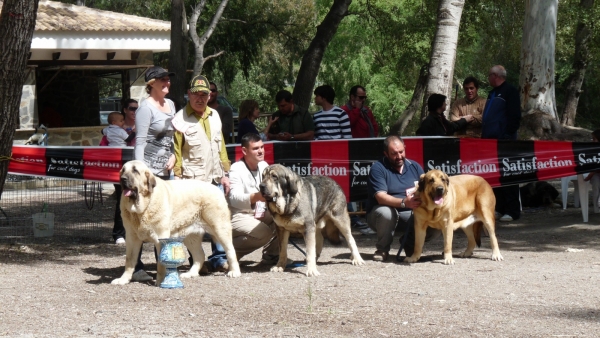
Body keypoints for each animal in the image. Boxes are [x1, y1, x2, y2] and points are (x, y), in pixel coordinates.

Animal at [110, 161, 241, 286]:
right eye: (123, 170)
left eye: (135, 171)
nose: (122, 179)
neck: (142, 209)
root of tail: (216, 188)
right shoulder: (132, 237)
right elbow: (129, 260)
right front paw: (123, 279)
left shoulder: (160, 237)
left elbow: (160, 263)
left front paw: (161, 281)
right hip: (190, 236)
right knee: (199, 255)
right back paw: (190, 273)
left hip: (220, 228)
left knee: (230, 250)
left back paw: (234, 272)